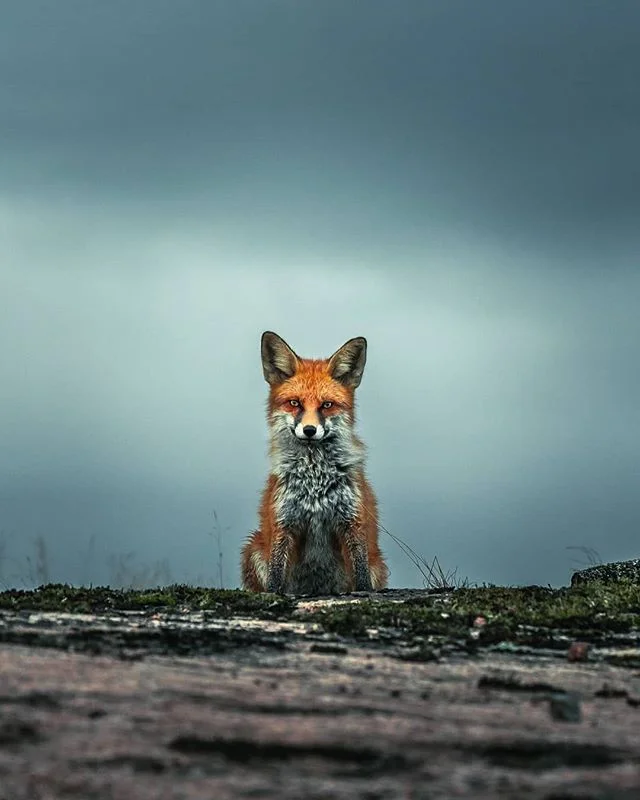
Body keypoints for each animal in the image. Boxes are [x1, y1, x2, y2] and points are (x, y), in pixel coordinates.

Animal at [240, 331, 389, 595]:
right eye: (295, 403)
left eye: (327, 405)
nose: (309, 430)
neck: (315, 480)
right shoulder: (284, 521)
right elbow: (275, 577)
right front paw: (274, 594)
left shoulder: (352, 521)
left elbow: (360, 574)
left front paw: (363, 593)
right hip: (252, 547)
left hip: (377, 564)